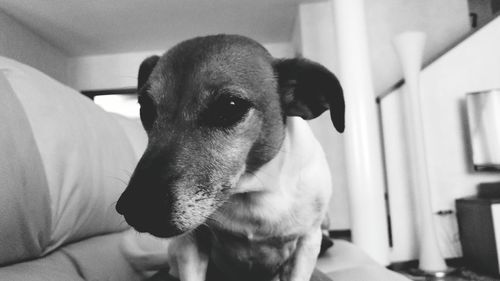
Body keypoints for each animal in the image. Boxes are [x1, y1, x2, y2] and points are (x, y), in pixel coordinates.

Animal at [116, 33, 344, 280]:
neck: (253, 192)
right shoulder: (191, 243)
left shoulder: (306, 243)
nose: (134, 208)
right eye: (145, 110)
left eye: (230, 106)